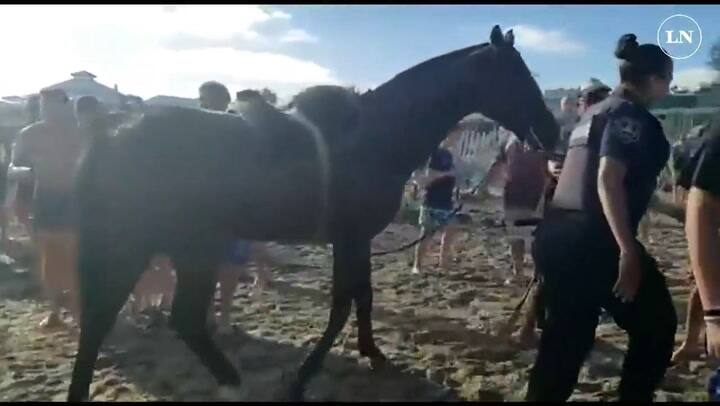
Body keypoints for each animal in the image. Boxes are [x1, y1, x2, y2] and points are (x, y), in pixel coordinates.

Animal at [67, 25, 559, 401]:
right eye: (514, 75)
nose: (551, 131)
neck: (373, 135)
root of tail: (112, 132)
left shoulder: (357, 240)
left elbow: (363, 297)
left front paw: (373, 354)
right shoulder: (350, 237)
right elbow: (343, 303)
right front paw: (304, 376)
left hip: (162, 247)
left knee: (130, 320)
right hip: (171, 247)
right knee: (147, 319)